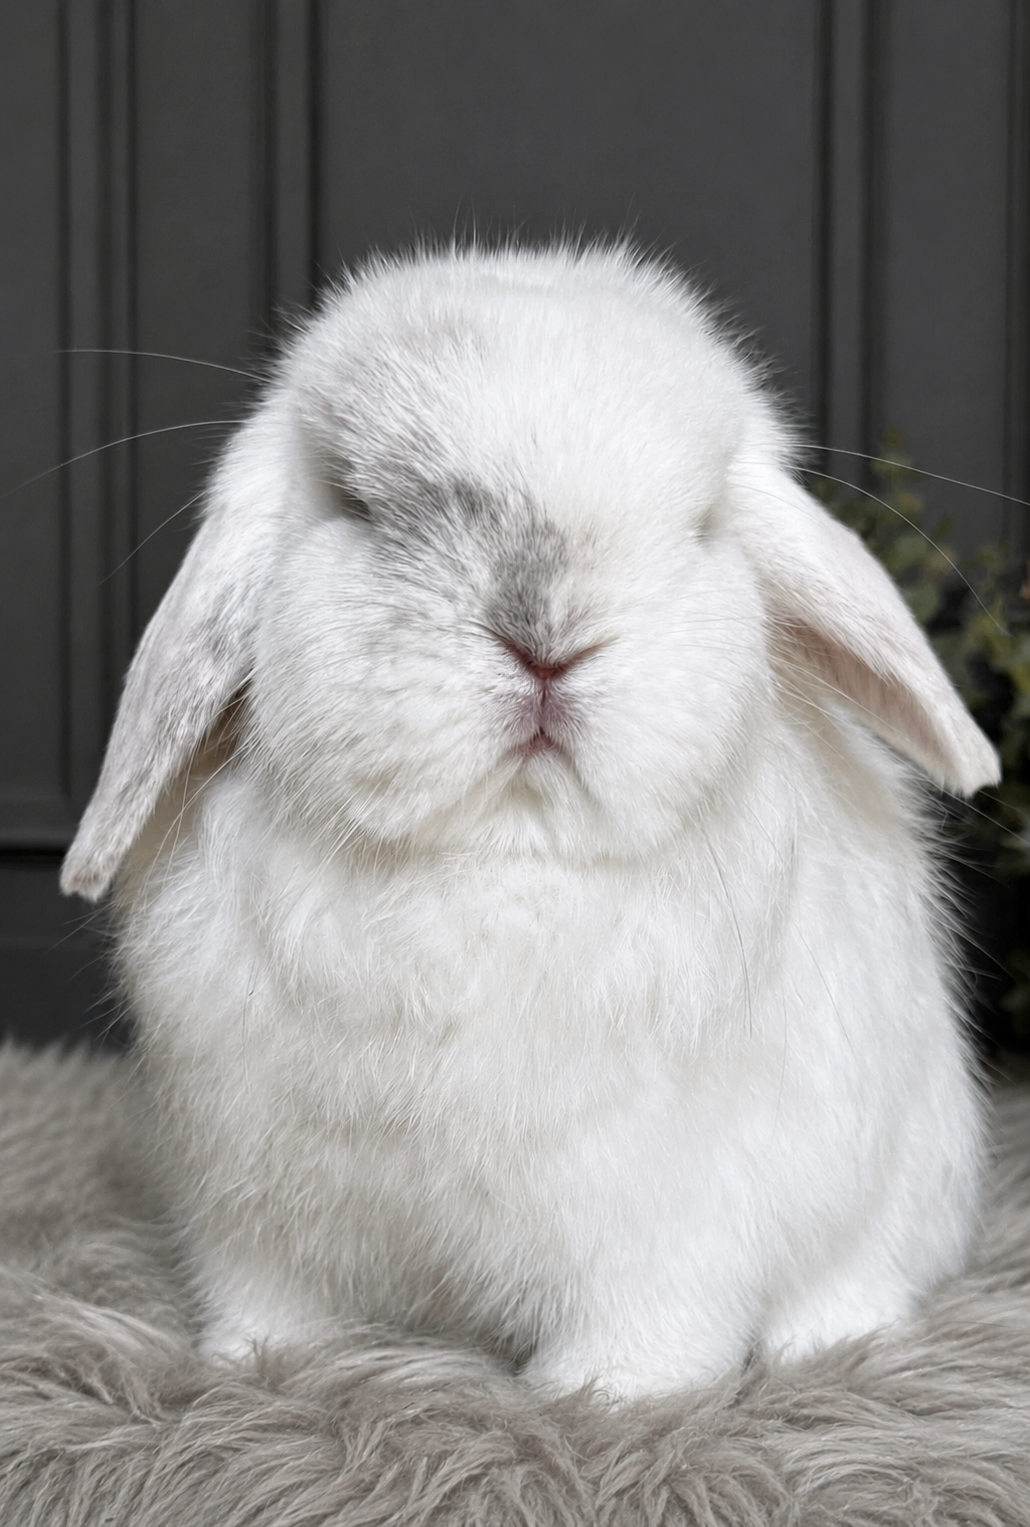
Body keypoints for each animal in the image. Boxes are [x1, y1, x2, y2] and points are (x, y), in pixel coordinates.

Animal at [60, 243, 1000, 1398]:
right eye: (357, 502)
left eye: (700, 523)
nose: (548, 640)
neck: (507, 852)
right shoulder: (255, 1212)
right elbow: (274, 1299)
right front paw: (261, 1362)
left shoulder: (672, 1224)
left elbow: (652, 1318)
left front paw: (603, 1395)